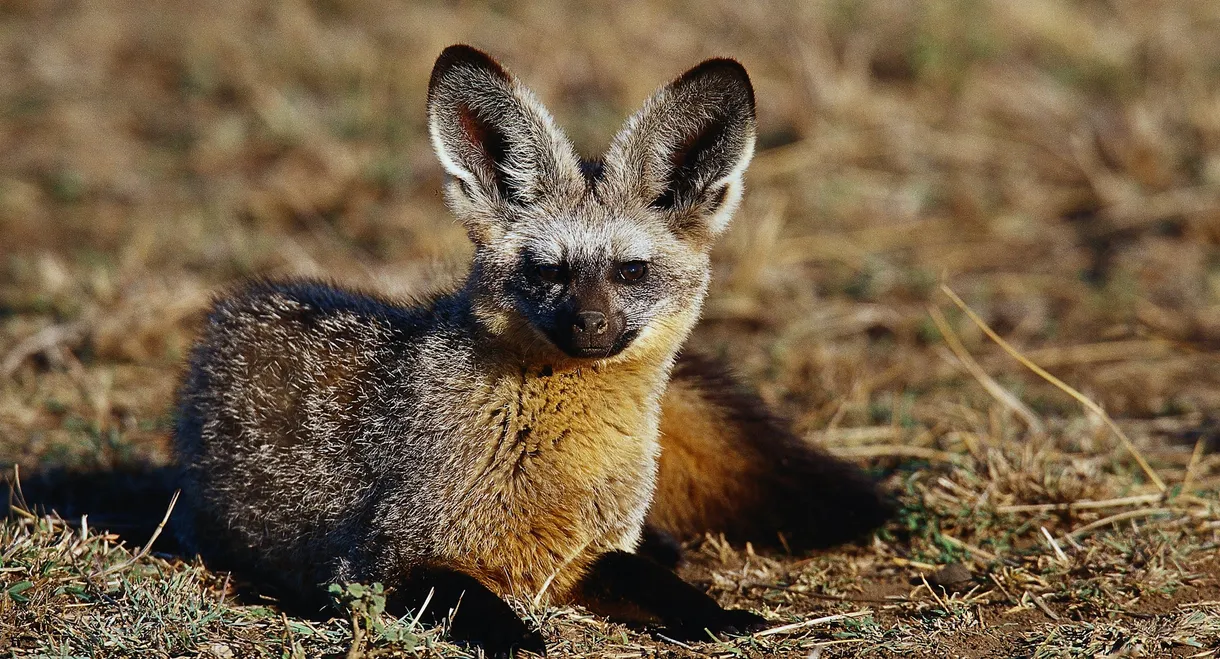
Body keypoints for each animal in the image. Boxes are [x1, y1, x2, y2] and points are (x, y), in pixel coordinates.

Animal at [172, 43, 893, 654]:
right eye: (549, 272)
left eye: (631, 271)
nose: (591, 326)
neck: (563, 458)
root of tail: (239, 305)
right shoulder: (377, 561)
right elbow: (466, 597)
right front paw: (518, 634)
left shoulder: (584, 555)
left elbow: (658, 584)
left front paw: (720, 616)